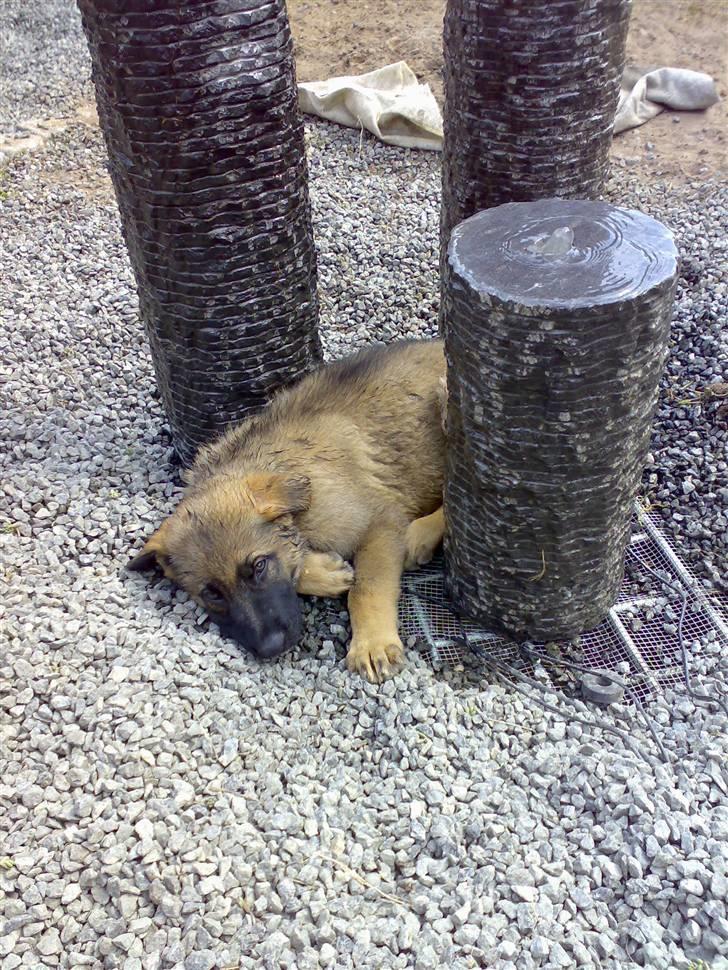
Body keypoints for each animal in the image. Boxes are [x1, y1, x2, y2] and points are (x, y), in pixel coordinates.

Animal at [132, 338, 450, 680]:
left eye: (259, 566)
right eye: (211, 593)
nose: (272, 648)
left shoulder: (380, 522)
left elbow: (367, 587)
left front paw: (371, 643)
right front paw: (326, 572)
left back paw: (421, 535)